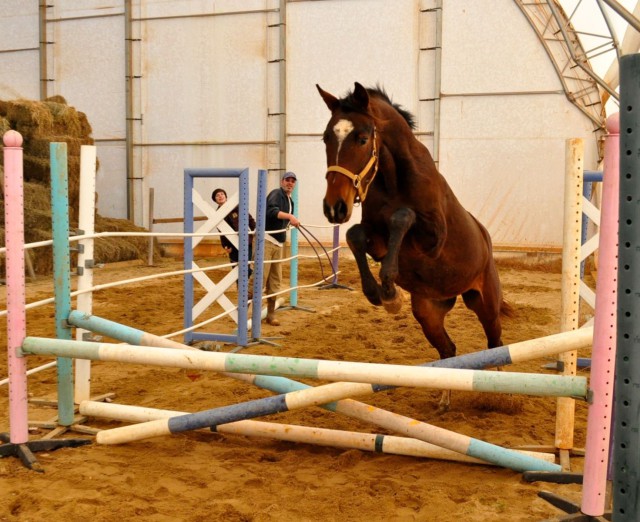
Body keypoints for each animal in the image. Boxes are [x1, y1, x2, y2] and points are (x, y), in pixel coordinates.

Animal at [318, 81, 512, 408]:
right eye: (326, 138)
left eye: (362, 138)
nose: (335, 208)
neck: (392, 178)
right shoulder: (375, 238)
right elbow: (355, 235)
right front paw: (381, 294)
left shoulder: (432, 240)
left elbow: (403, 216)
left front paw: (389, 291)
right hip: (428, 312)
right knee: (448, 350)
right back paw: (444, 398)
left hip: (484, 302)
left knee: (494, 341)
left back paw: (499, 393)